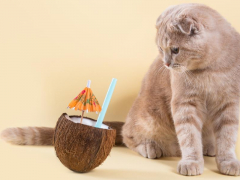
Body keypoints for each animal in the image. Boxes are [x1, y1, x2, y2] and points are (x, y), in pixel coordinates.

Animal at [1, 2, 240, 176]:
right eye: (160, 49)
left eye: (175, 49)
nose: (166, 64)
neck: (212, 70)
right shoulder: (185, 104)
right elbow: (189, 137)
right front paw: (191, 162)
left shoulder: (230, 104)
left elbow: (227, 138)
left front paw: (227, 162)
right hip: (148, 119)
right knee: (129, 137)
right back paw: (151, 148)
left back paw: (209, 147)